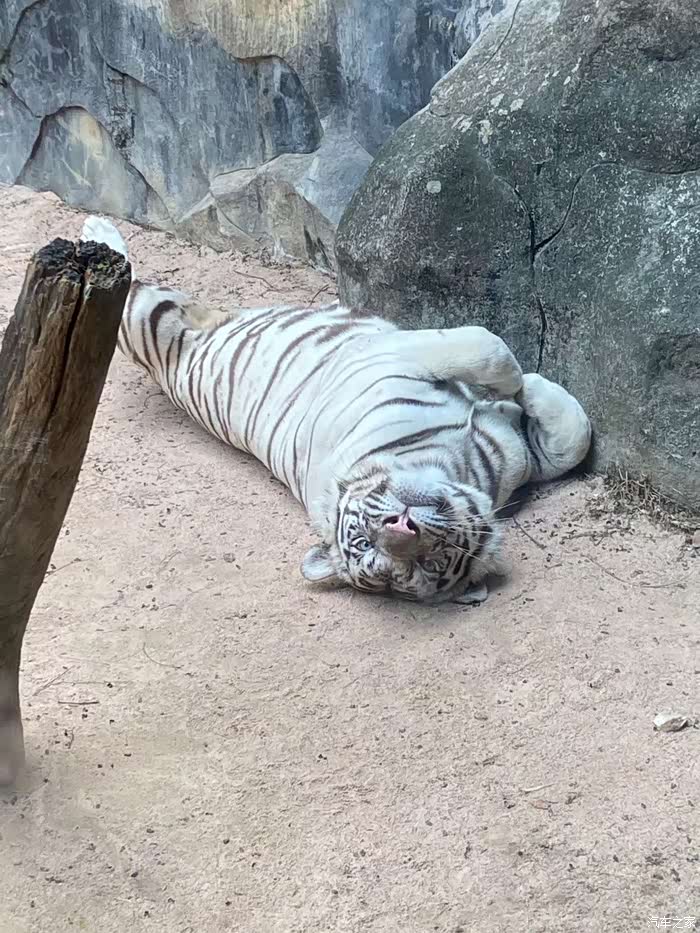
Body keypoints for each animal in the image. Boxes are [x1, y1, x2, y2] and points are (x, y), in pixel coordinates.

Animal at [82, 215, 591, 604]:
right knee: (129, 285)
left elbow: (570, 438)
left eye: (427, 562)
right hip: (147, 319)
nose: (399, 524)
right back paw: (95, 233)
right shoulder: (398, 355)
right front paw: (527, 383)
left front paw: (526, 391)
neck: (463, 467)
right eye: (371, 547)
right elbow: (492, 348)